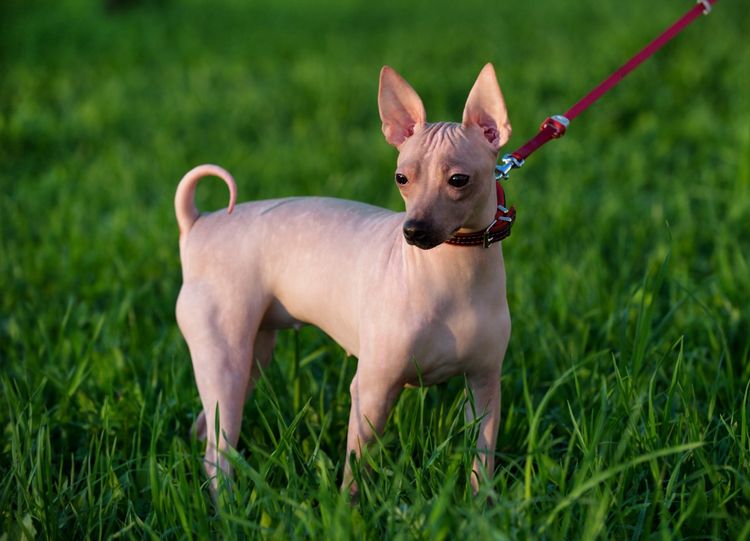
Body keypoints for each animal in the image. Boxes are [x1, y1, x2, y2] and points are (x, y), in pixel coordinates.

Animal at [176, 62, 516, 494]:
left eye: (458, 180)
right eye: (401, 178)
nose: (413, 231)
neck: (454, 277)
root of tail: (198, 224)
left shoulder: (485, 386)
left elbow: (481, 461)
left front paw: (481, 505)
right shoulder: (371, 390)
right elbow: (355, 470)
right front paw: (348, 506)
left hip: (254, 356)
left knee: (206, 425)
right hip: (225, 359)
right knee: (217, 451)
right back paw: (227, 501)